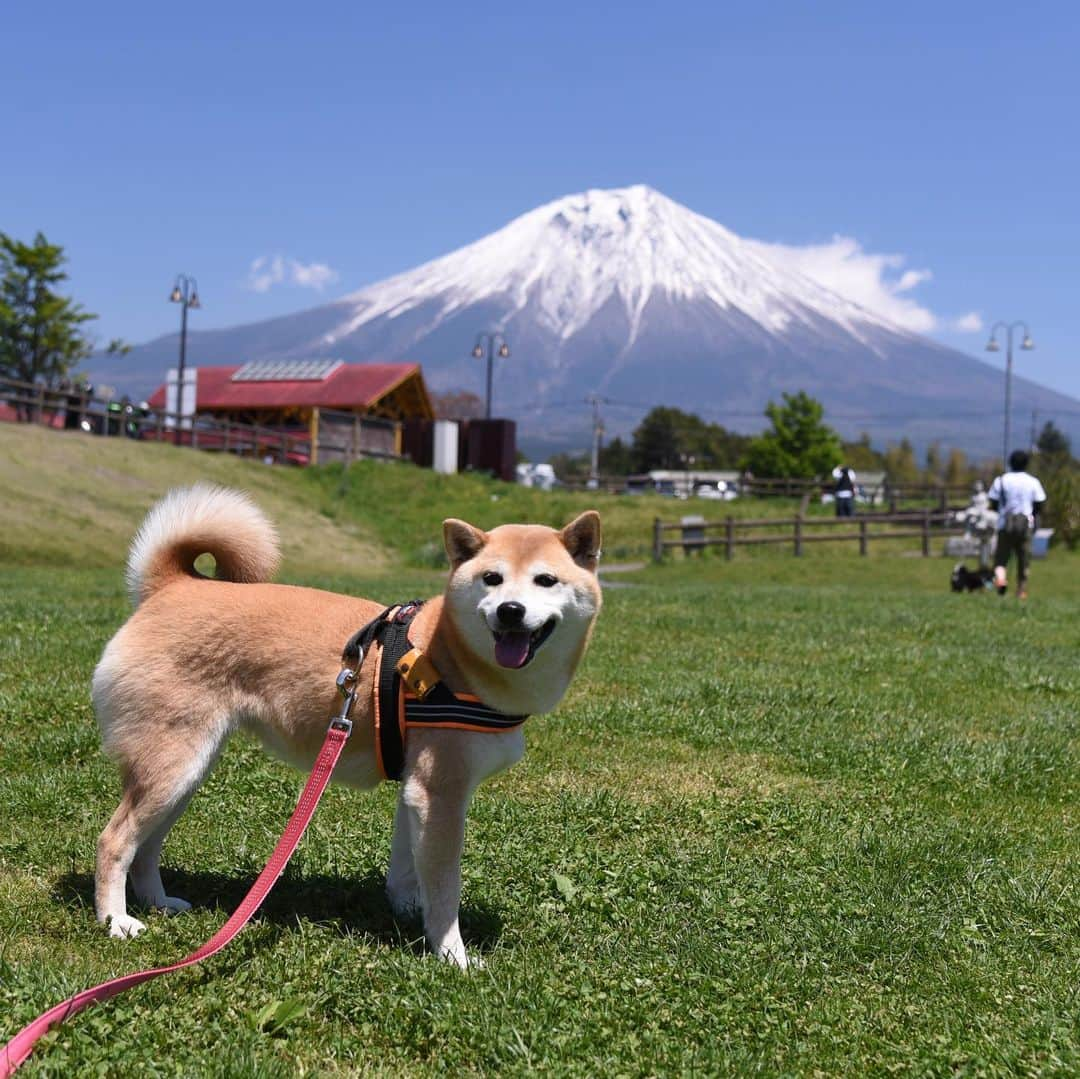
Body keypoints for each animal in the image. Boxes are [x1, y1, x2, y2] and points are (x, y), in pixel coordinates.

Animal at [91, 488, 600, 972]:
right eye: (491, 578)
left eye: (546, 580)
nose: (510, 610)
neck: (452, 657)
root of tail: (172, 588)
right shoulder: (440, 793)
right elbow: (445, 888)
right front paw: (451, 953)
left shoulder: (415, 790)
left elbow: (407, 868)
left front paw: (405, 911)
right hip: (173, 766)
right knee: (114, 840)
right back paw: (116, 920)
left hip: (184, 773)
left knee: (146, 846)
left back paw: (157, 902)